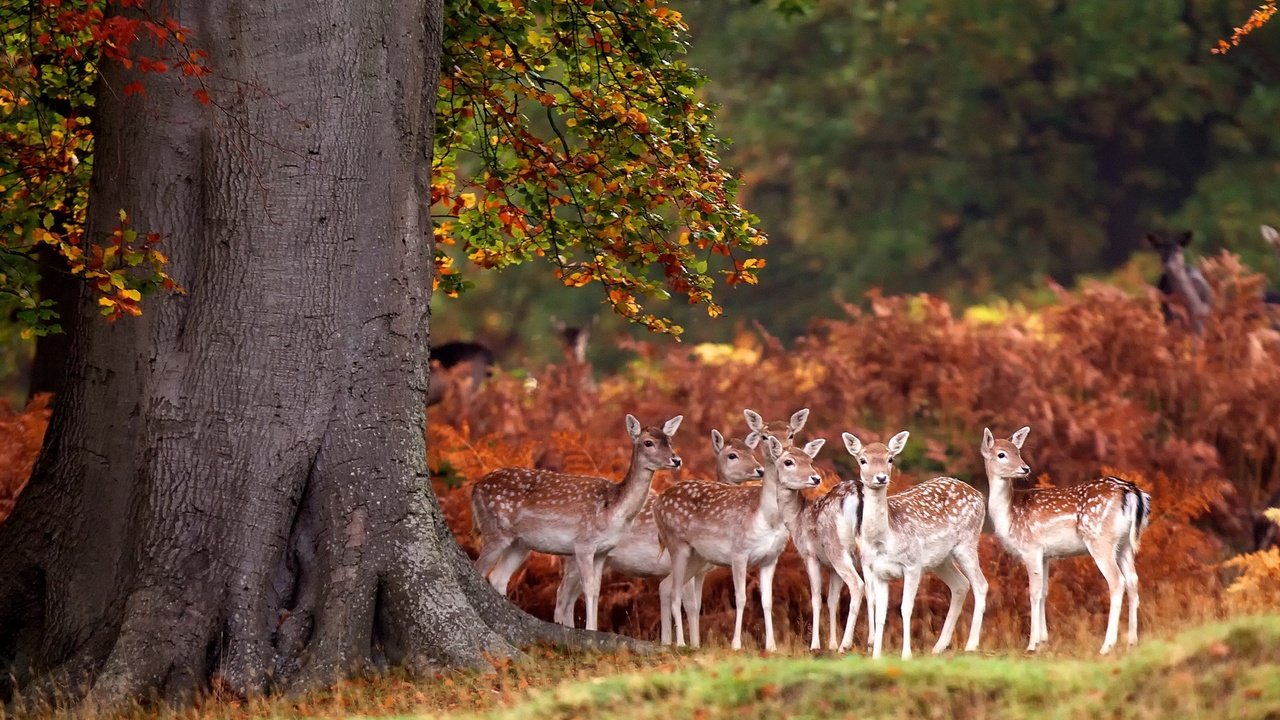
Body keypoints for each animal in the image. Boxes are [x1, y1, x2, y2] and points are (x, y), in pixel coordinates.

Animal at [471, 409, 686, 627]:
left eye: (669, 440)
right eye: (648, 442)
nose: (676, 460)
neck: (613, 511)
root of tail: (475, 488)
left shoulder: (603, 550)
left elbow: (597, 589)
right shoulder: (584, 543)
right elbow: (588, 587)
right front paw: (591, 628)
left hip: (520, 544)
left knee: (498, 576)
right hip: (495, 529)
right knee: (479, 569)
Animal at [550, 425, 757, 638]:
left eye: (752, 452)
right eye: (732, 455)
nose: (760, 469)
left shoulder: (700, 571)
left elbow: (694, 603)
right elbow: (690, 605)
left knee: (572, 597)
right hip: (575, 556)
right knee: (562, 595)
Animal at [655, 430, 824, 650]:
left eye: (810, 460)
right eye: (789, 462)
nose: (816, 477)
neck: (767, 519)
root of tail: (658, 503)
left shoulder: (770, 558)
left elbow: (767, 601)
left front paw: (771, 646)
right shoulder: (739, 553)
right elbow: (741, 598)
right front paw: (736, 644)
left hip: (697, 557)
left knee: (666, 586)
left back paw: (672, 642)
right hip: (677, 544)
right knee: (676, 592)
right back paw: (681, 644)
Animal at [844, 427, 993, 661]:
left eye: (890, 458)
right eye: (862, 459)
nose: (881, 477)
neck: (884, 540)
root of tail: (978, 494)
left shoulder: (912, 564)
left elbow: (906, 608)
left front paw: (906, 655)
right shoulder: (877, 571)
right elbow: (880, 612)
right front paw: (876, 656)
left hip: (967, 543)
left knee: (981, 584)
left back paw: (971, 645)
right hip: (940, 560)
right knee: (960, 584)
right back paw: (939, 646)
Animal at [977, 422, 1152, 653]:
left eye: (1018, 451)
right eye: (1002, 454)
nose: (1025, 468)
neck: (1009, 516)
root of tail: (1132, 493)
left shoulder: (1030, 547)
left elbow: (1033, 592)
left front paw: (1032, 644)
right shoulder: (1045, 555)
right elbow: (1044, 591)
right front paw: (1043, 641)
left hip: (1099, 539)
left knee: (1117, 581)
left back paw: (1107, 646)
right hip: (1123, 544)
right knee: (1133, 579)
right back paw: (1132, 640)